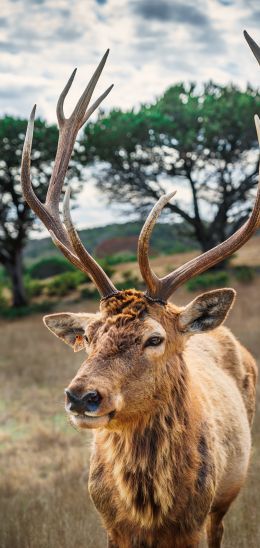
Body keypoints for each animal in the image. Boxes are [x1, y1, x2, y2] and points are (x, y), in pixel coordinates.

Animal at [20, 32, 260, 548]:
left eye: (155, 338)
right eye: (88, 337)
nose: (82, 397)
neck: (150, 512)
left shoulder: (195, 522)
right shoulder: (110, 526)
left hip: (228, 494)